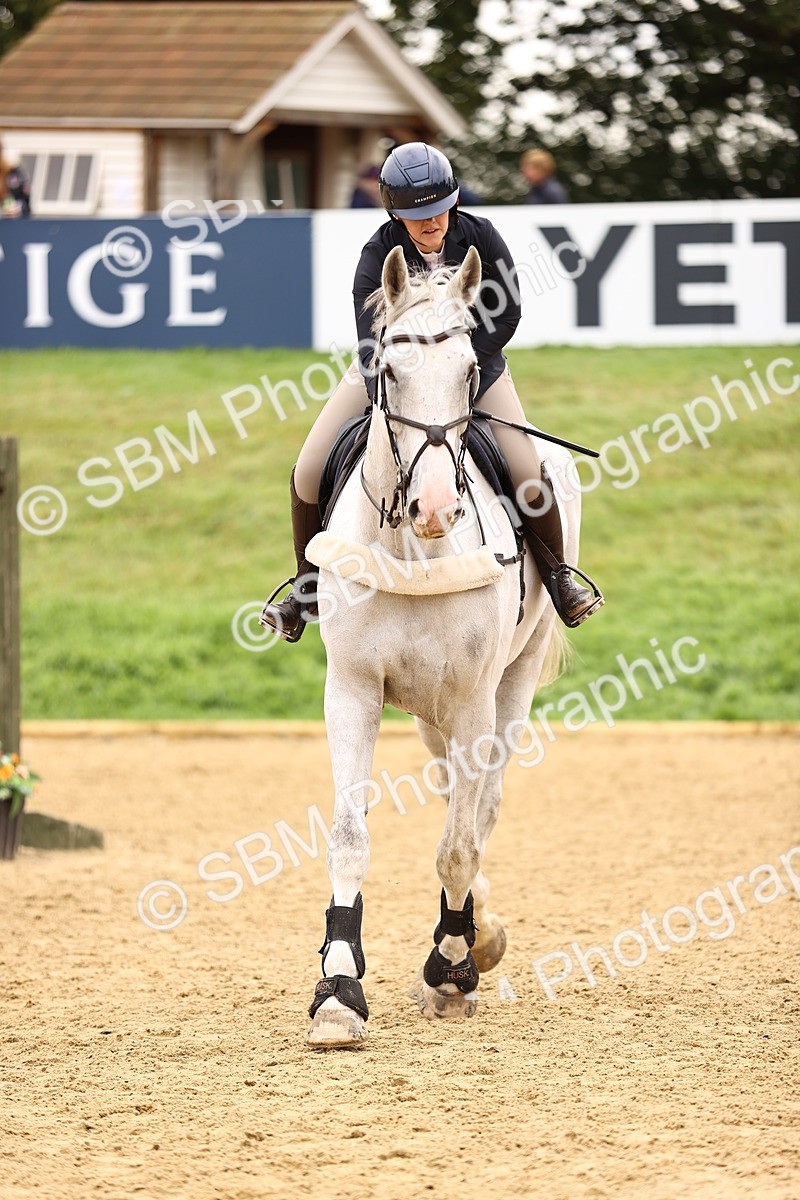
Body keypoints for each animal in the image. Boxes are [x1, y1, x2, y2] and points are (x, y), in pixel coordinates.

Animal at [304, 245, 577, 1048]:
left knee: (481, 805)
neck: (412, 549)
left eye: (468, 370)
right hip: (432, 712)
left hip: (507, 688)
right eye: (390, 370)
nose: (433, 509)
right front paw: (338, 990)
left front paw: (452, 968)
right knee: (456, 788)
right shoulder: (353, 690)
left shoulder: (473, 698)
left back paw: (473, 941)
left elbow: (460, 841)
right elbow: (349, 834)